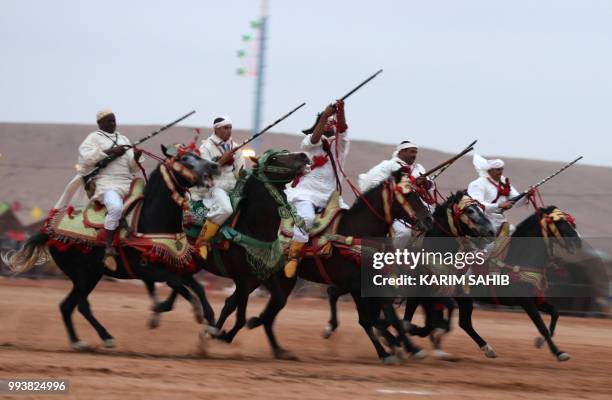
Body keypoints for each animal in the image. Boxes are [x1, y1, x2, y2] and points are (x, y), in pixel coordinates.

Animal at [2, 145, 220, 350]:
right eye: (185, 159)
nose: (214, 166)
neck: (150, 220)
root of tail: (49, 230)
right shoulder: (146, 270)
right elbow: (177, 283)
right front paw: (192, 312)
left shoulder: (172, 263)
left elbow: (196, 286)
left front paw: (210, 321)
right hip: (82, 277)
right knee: (76, 306)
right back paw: (99, 338)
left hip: (91, 275)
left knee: (70, 306)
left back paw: (82, 341)